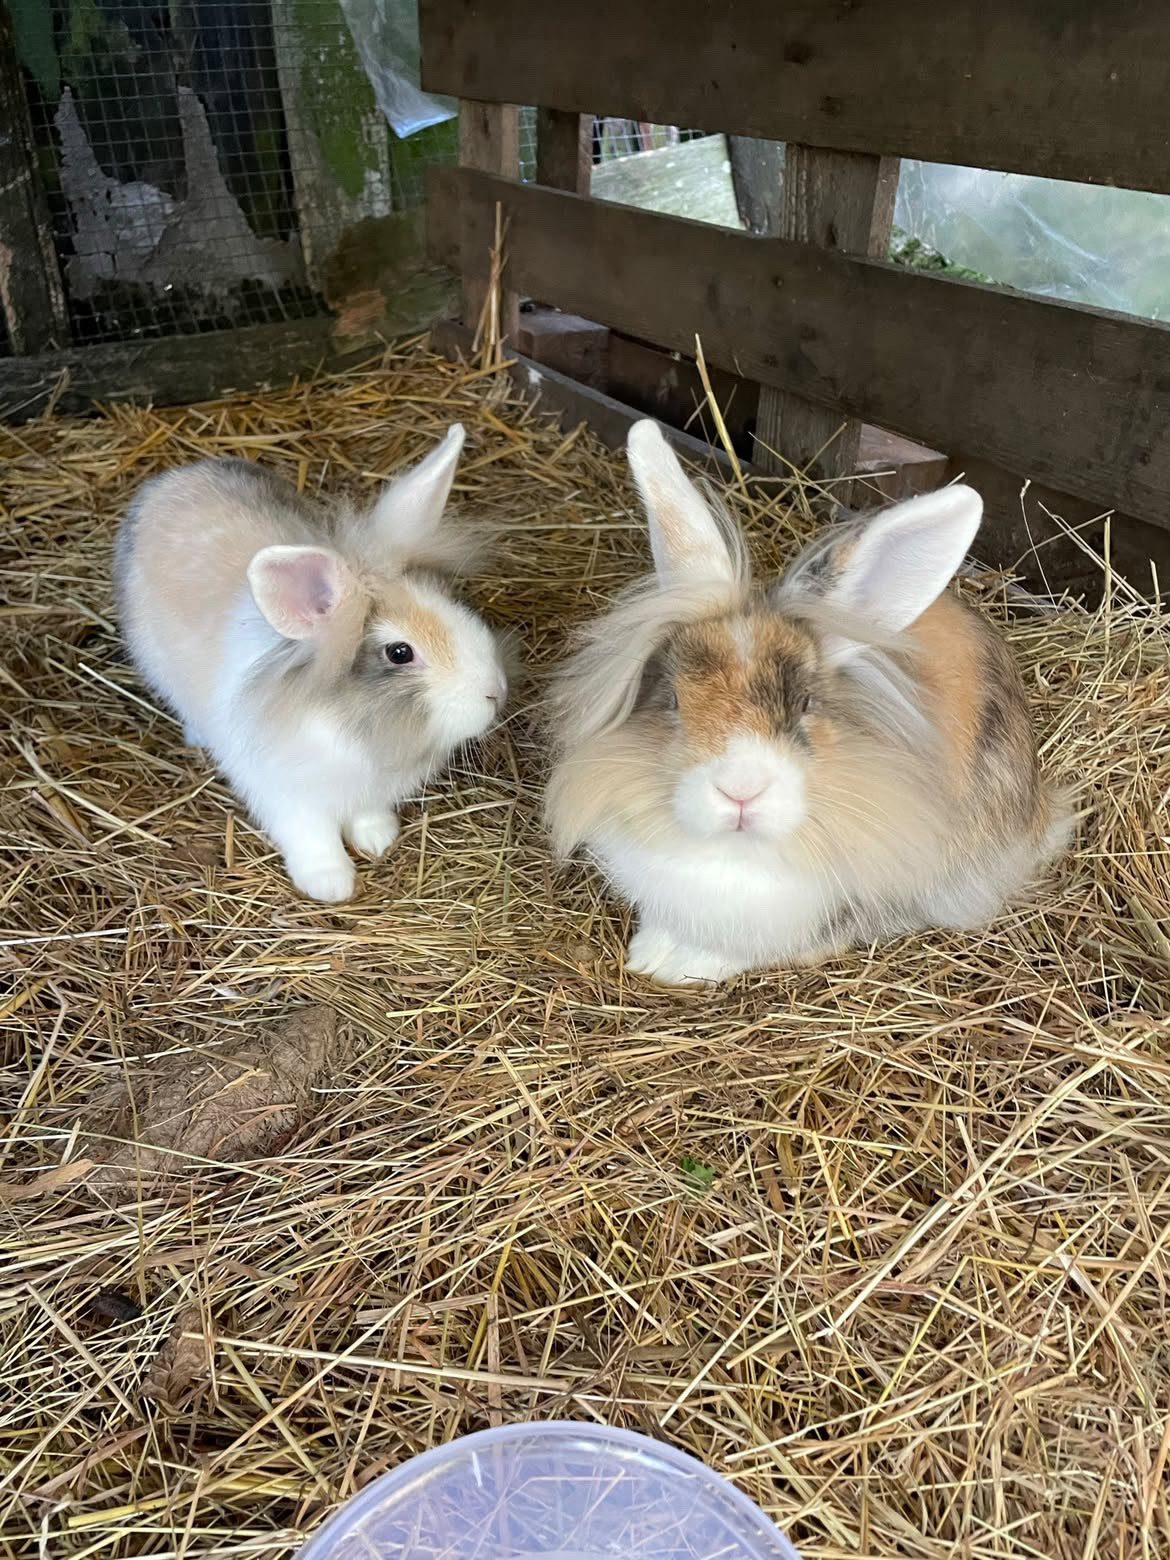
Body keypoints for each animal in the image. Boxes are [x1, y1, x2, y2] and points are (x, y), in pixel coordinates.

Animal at [115, 424, 507, 903]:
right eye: (400, 652)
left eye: (452, 603)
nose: (496, 692)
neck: (351, 723)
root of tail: (169, 480)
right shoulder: (290, 798)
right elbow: (312, 837)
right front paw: (331, 883)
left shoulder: (367, 790)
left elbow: (367, 815)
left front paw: (378, 839)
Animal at [545, 420, 1070, 985]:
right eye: (676, 702)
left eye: (804, 703)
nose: (740, 790)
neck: (735, 857)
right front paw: (650, 957)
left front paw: (678, 965)